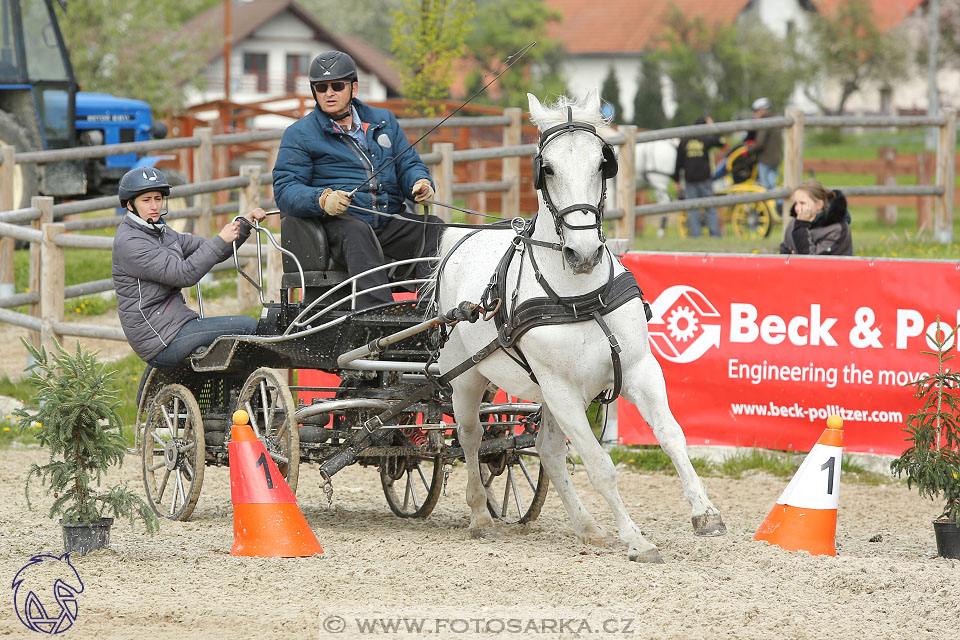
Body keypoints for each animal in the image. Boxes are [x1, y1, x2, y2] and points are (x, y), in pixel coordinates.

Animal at [432, 90, 724, 560]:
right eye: (547, 168)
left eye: (602, 163)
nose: (583, 253)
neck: (580, 297)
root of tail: (462, 237)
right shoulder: (562, 390)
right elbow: (601, 466)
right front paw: (637, 539)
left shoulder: (639, 369)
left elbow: (672, 436)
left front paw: (705, 513)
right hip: (467, 377)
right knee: (471, 436)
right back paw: (479, 516)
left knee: (547, 450)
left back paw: (587, 526)